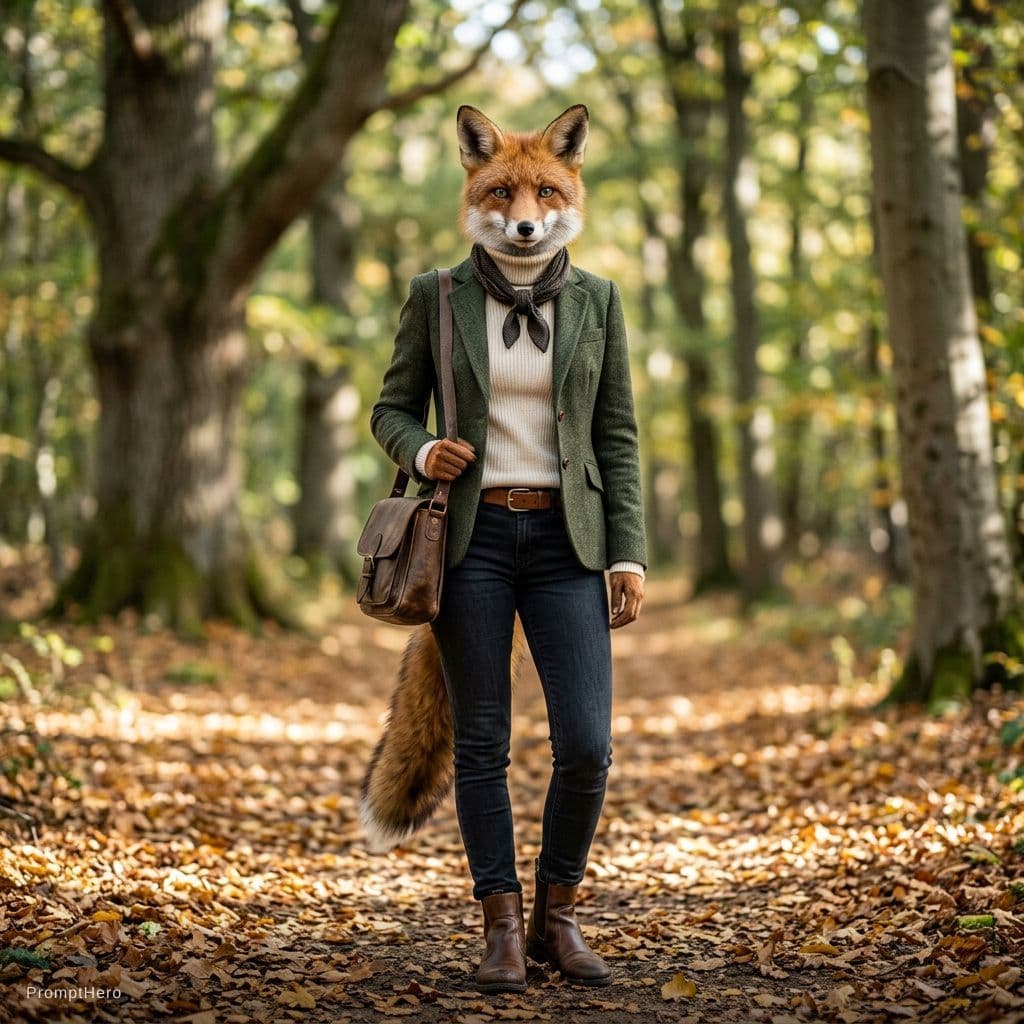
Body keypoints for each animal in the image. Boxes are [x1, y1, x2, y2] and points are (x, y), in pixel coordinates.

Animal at [359, 104, 591, 854]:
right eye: (500, 193)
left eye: (544, 192)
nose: (524, 230)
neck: (519, 297)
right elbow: (392, 409)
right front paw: (443, 457)